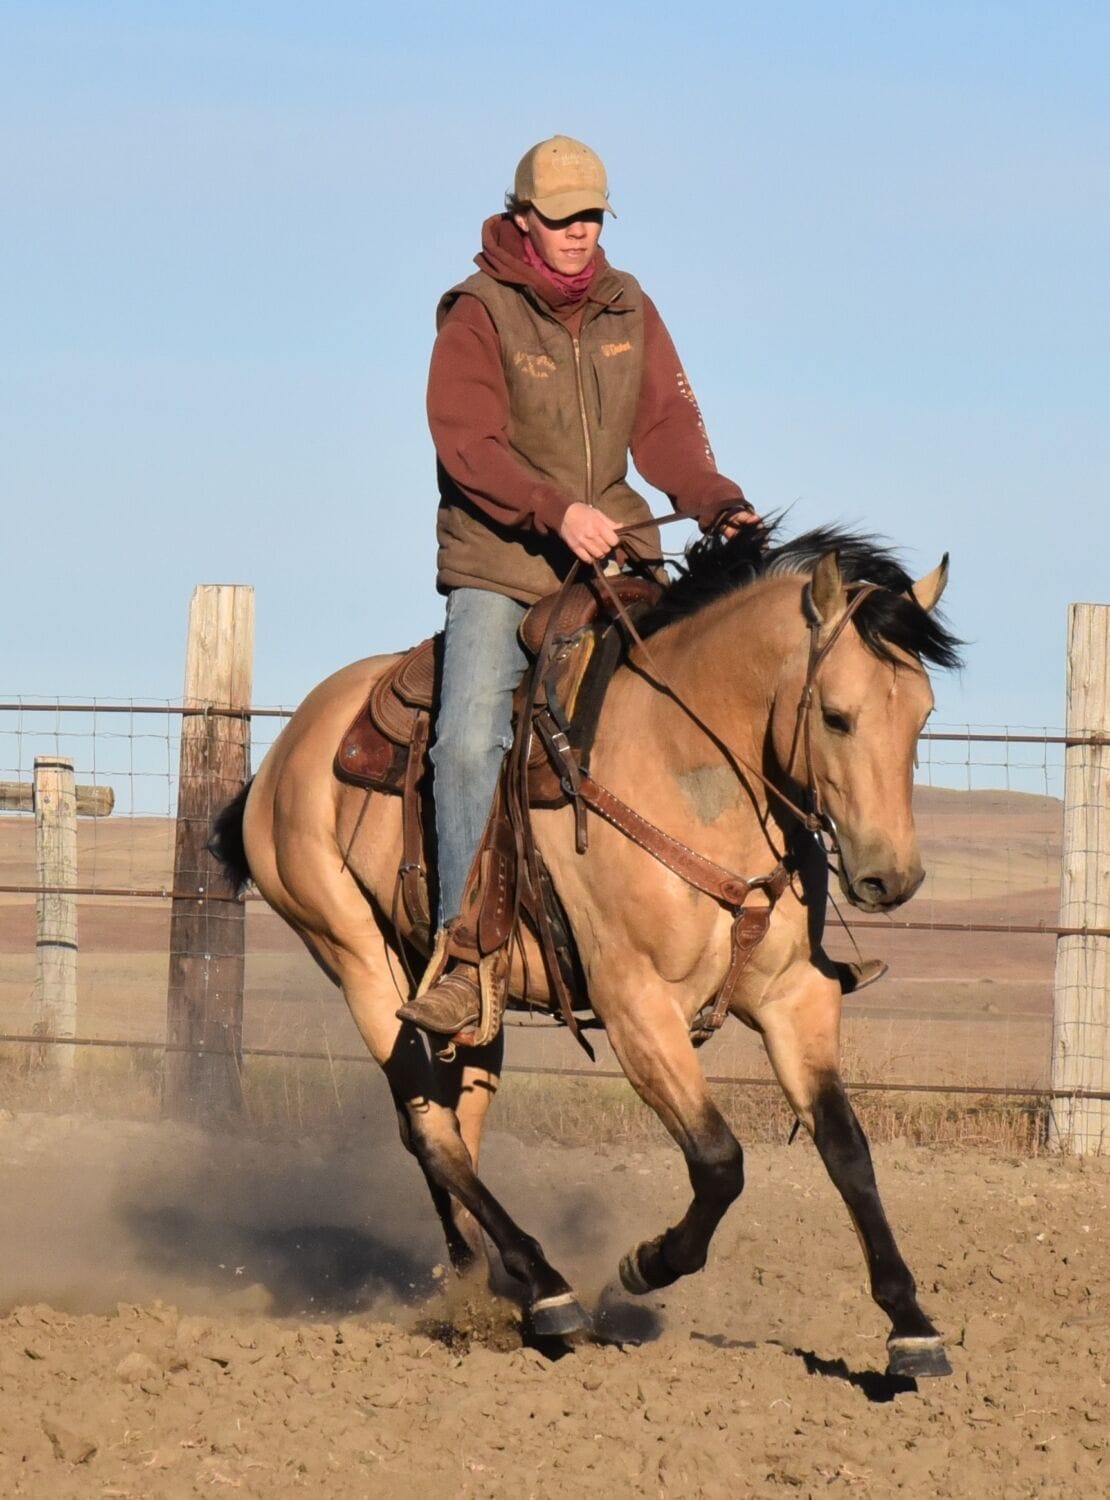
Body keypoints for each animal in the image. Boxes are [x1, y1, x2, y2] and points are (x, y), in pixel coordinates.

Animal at [211, 525, 962, 1378]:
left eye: (924, 714)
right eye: (837, 717)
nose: (891, 878)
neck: (687, 770)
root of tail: (284, 753)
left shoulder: (795, 996)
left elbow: (847, 1149)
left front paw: (910, 1325)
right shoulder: (637, 1006)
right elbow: (719, 1160)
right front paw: (641, 1267)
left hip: (476, 1003)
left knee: (456, 1125)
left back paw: (480, 1285)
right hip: (356, 958)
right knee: (428, 1131)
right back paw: (547, 1290)